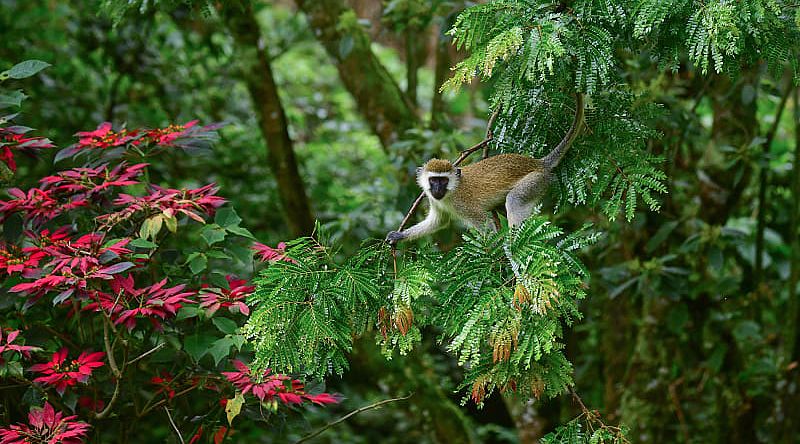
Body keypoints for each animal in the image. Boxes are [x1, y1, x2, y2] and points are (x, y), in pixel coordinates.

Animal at [386, 94, 580, 246]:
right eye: (433, 180)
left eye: (443, 180)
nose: (437, 189)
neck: (450, 193)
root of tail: (537, 163)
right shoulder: (434, 200)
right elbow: (439, 221)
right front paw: (399, 236)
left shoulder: (464, 205)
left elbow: (487, 228)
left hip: (537, 181)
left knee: (514, 200)